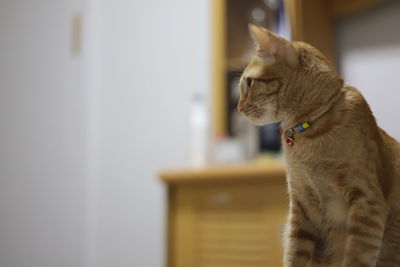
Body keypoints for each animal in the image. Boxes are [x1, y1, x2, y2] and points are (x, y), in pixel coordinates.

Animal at [238, 24, 400, 266]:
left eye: (248, 82)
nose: (239, 108)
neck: (307, 130)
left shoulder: (367, 203)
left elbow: (355, 257)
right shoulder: (301, 208)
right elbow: (293, 254)